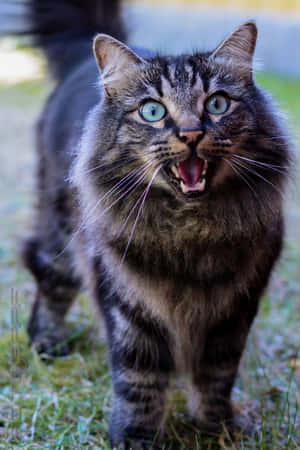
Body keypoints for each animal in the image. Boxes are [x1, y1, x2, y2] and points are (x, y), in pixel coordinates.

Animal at [8, 0, 290, 448]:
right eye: (153, 111)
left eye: (217, 104)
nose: (191, 133)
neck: (191, 232)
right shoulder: (127, 301)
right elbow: (139, 380)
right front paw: (135, 437)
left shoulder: (235, 305)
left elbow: (216, 377)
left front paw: (218, 430)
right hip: (61, 230)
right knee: (49, 275)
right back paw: (47, 341)